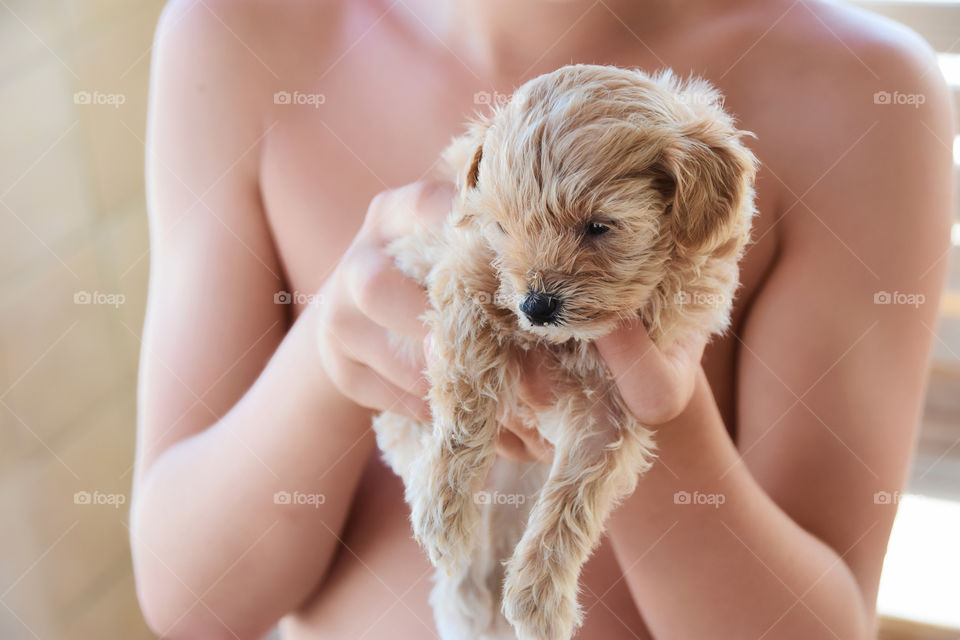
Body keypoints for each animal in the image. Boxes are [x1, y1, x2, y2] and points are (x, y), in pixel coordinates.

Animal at [376, 62, 756, 636]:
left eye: (599, 226)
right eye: (503, 226)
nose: (535, 305)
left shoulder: (616, 405)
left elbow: (575, 498)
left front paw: (539, 598)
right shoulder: (466, 275)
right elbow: (467, 402)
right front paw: (444, 513)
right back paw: (462, 589)